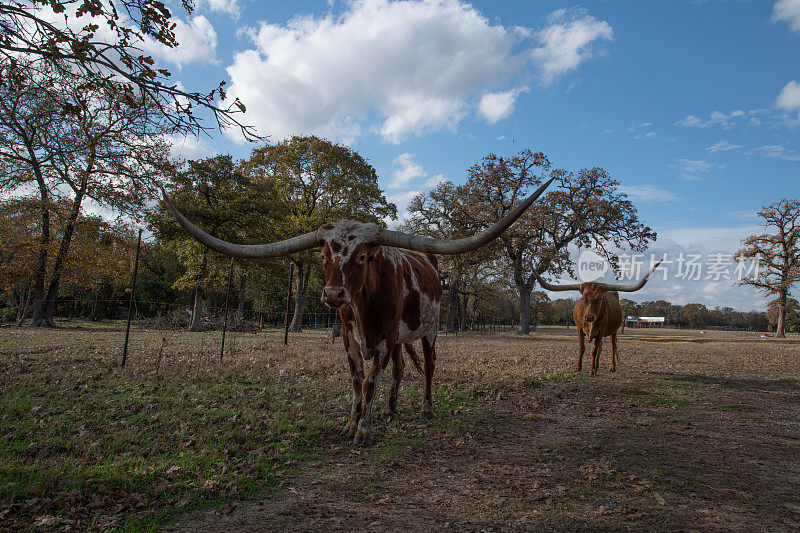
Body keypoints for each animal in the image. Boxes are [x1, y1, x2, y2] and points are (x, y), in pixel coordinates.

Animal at [159, 177, 552, 442]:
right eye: (323, 255)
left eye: (363, 257)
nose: (334, 294)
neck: (364, 304)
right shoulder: (350, 338)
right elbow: (355, 381)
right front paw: (352, 423)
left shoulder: (383, 338)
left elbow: (370, 382)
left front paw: (363, 429)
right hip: (400, 339)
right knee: (400, 370)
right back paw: (391, 411)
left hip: (429, 331)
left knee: (428, 367)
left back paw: (425, 408)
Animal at [536, 262, 664, 374]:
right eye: (584, 299)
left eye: (600, 299)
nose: (589, 317)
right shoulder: (579, 329)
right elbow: (582, 348)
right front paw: (578, 367)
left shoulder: (600, 330)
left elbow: (594, 350)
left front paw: (592, 370)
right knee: (601, 346)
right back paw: (597, 365)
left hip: (613, 331)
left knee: (612, 346)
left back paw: (611, 367)